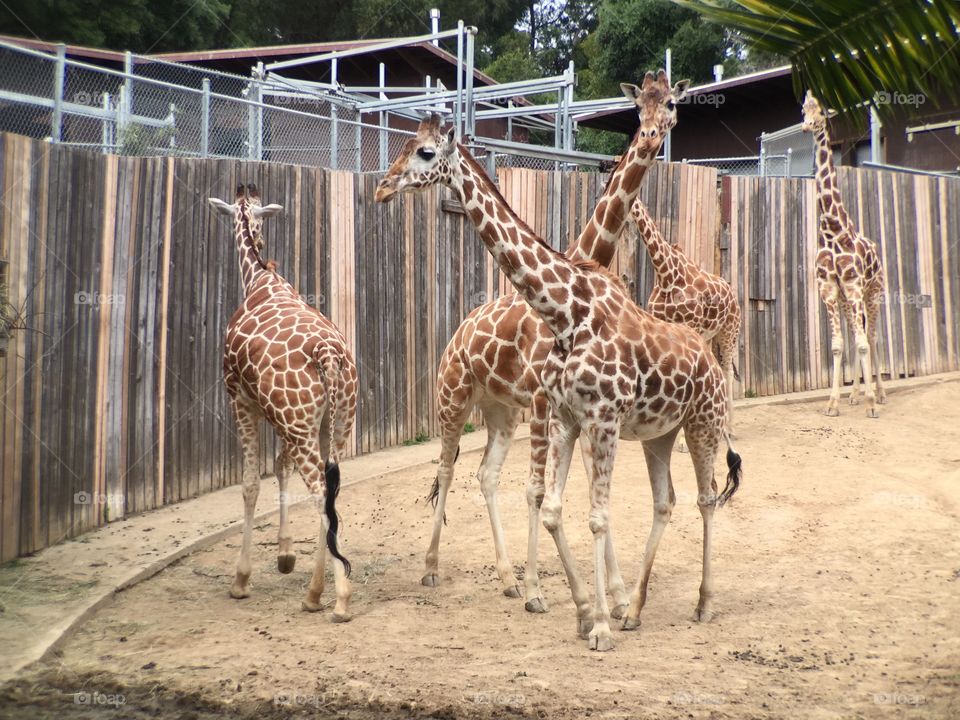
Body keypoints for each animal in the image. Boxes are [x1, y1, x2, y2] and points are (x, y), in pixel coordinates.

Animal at [210, 183, 360, 620]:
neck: (259, 278)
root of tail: (329, 355)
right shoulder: (281, 415)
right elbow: (280, 467)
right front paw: (285, 555)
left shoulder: (240, 397)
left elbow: (249, 484)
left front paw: (241, 580)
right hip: (335, 423)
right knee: (330, 491)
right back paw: (315, 592)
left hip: (300, 422)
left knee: (319, 492)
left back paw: (336, 598)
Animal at [422, 70, 688, 608]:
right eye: (639, 108)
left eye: (670, 104)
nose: (651, 135)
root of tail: (457, 334)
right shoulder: (551, 402)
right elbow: (538, 490)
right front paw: (540, 590)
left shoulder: (573, 406)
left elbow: (581, 486)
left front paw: (613, 593)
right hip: (453, 396)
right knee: (445, 470)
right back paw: (434, 568)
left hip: (500, 409)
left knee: (485, 474)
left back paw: (504, 576)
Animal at [632, 197, 748, 434]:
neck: (666, 274)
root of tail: (732, 294)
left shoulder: (690, 325)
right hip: (710, 335)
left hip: (730, 331)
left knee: (727, 371)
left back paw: (729, 428)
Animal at [800, 91, 888, 416]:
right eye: (803, 110)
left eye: (822, 112)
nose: (806, 126)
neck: (832, 229)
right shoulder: (829, 288)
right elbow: (839, 344)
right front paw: (833, 402)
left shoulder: (853, 286)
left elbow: (865, 342)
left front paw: (872, 404)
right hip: (849, 299)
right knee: (855, 334)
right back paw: (854, 395)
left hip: (872, 292)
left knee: (872, 337)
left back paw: (880, 394)